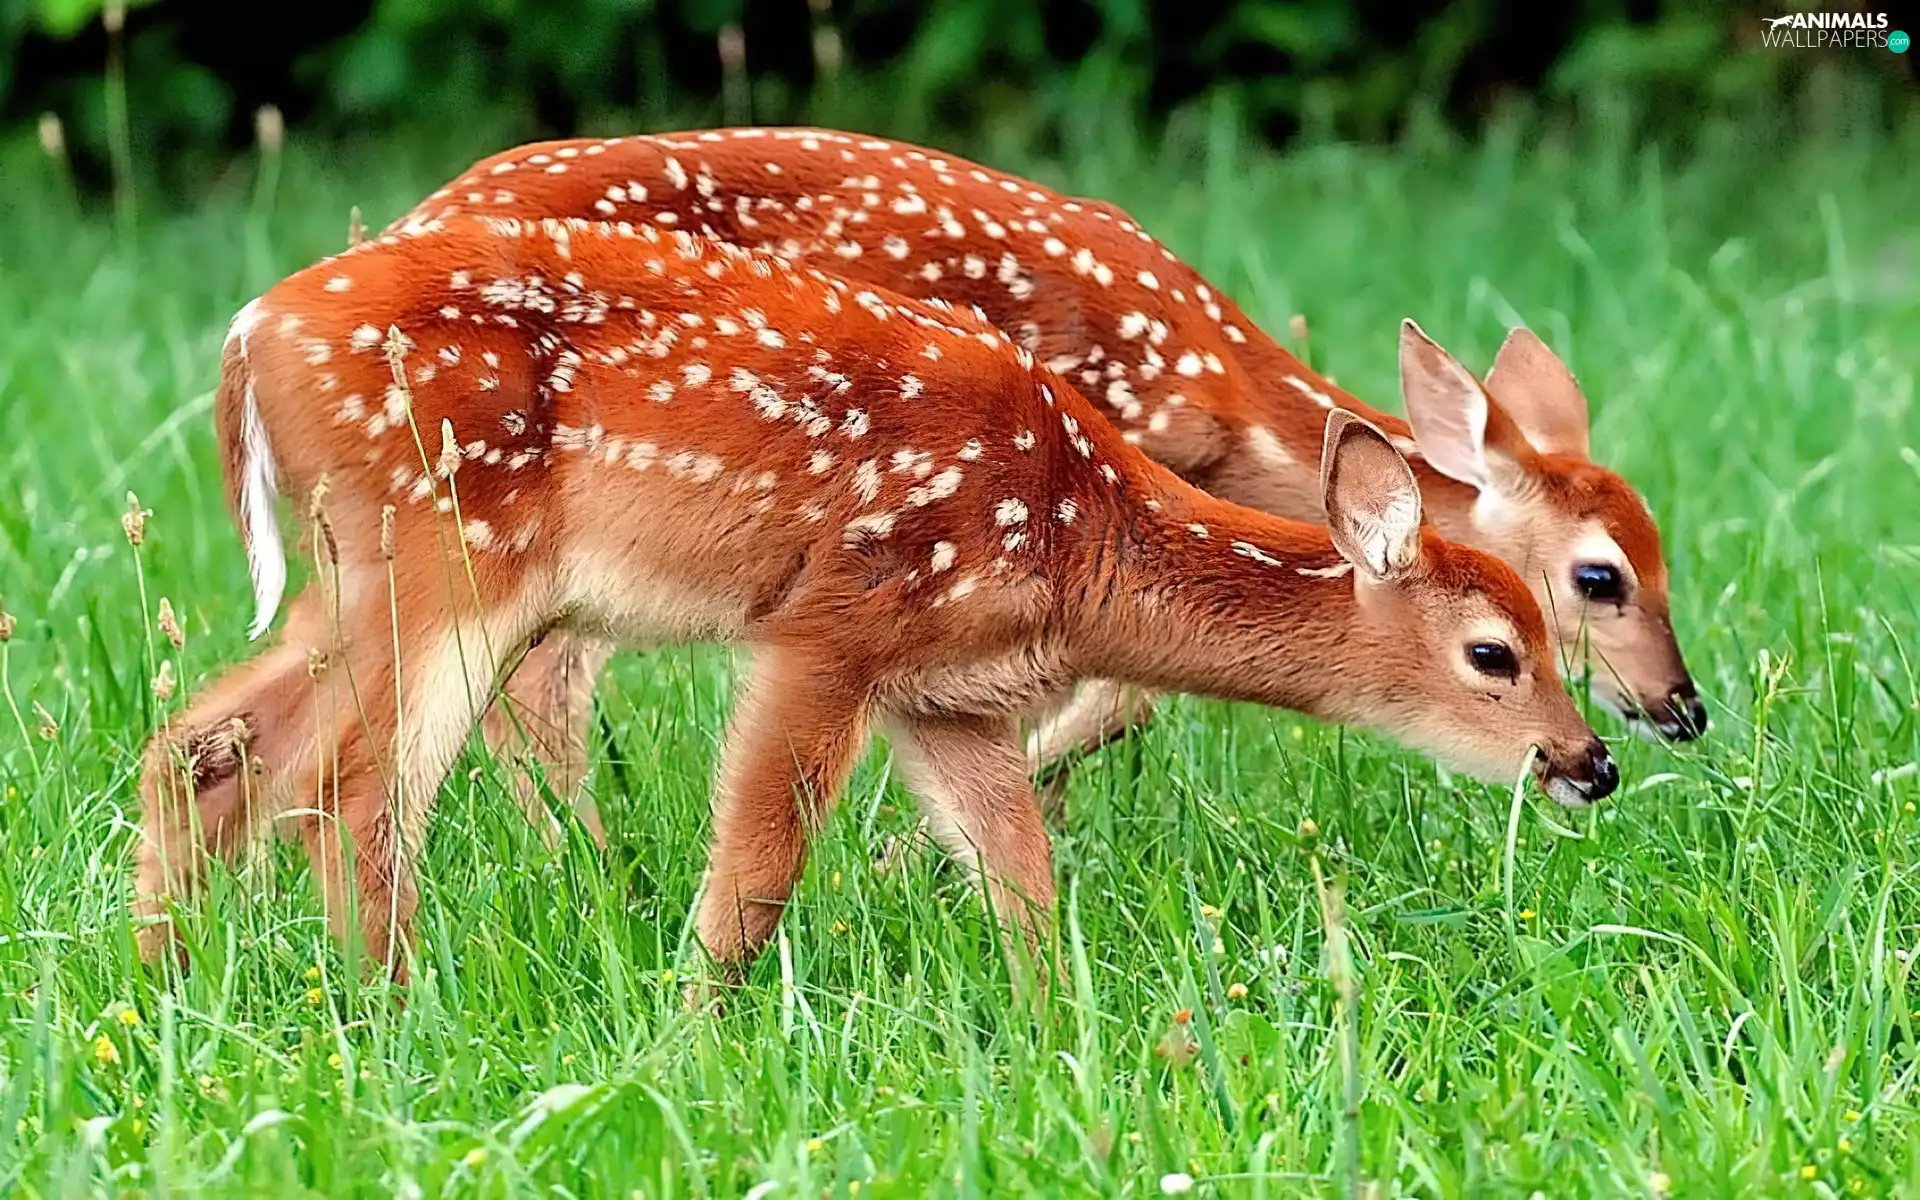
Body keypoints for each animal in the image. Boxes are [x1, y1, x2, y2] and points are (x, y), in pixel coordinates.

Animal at [132, 213, 1615, 989]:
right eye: (1499, 651)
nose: (1589, 760)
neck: (1079, 536)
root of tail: (250, 334)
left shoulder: (947, 697)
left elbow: (1021, 877)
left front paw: (1057, 1033)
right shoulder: (836, 619)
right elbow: (758, 871)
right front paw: (691, 1039)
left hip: (351, 570)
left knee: (208, 742)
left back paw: (168, 985)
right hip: (446, 554)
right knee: (358, 784)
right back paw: (390, 1008)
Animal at [390, 127, 1703, 839]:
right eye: (1599, 578)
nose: (1681, 707)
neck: (1223, 402)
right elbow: (1121, 699)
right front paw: (908, 854)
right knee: (533, 684)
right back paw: (587, 864)